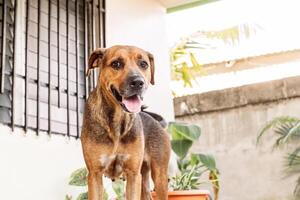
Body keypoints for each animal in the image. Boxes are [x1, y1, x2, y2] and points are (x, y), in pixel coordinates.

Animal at [81, 45, 171, 200]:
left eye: (143, 64)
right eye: (116, 64)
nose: (138, 82)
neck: (118, 121)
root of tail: (156, 122)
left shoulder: (133, 174)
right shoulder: (94, 174)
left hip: (159, 176)